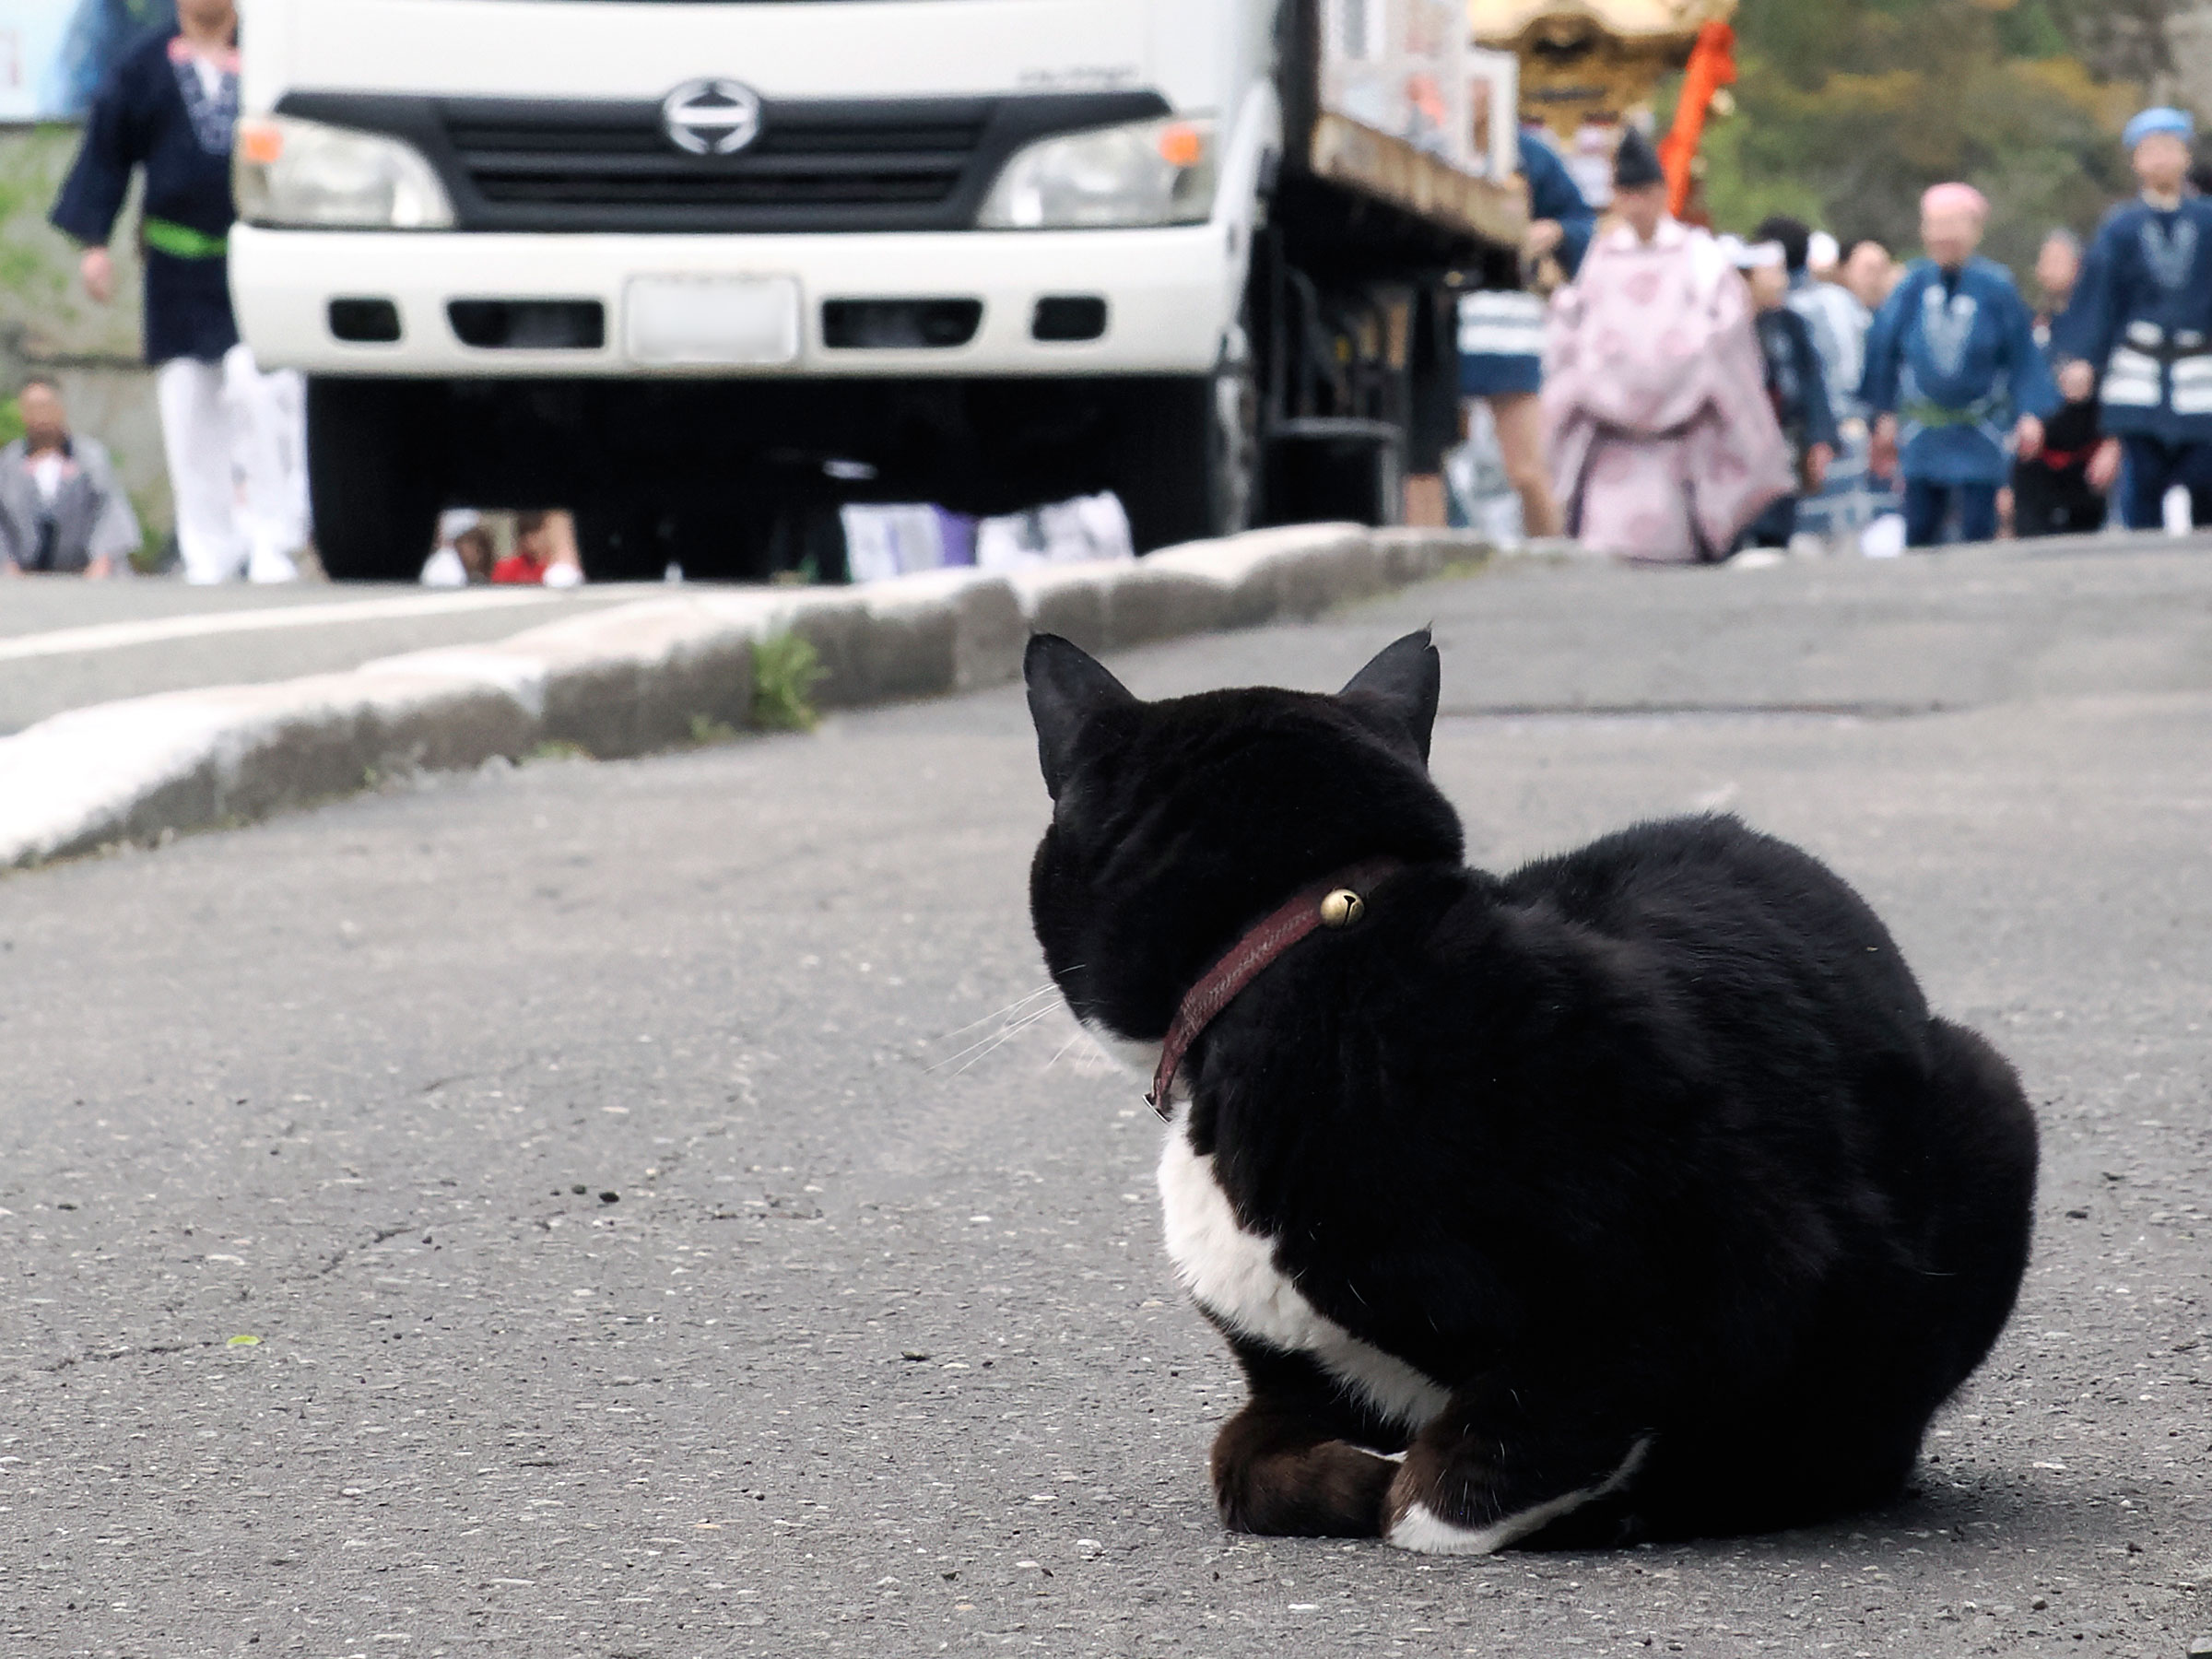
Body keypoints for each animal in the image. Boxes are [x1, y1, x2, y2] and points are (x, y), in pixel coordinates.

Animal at [1026, 628, 2043, 1557]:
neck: (1297, 956)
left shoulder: (1720, 1265)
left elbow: (1473, 1466)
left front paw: (1425, 1494)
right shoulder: (1289, 1376)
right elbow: (1237, 1461)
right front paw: (1345, 1478)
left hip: (1992, 1105)